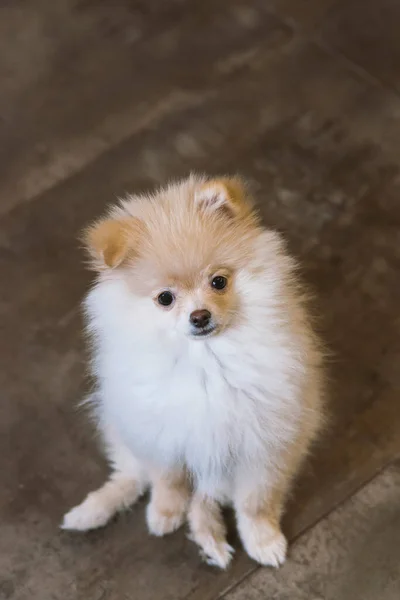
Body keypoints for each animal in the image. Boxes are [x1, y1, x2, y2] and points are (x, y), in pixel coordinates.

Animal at [62, 172, 324, 568]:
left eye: (218, 281)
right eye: (165, 298)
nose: (199, 316)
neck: (206, 361)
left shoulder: (265, 443)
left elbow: (255, 501)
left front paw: (263, 540)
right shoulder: (160, 433)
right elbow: (166, 479)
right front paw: (164, 513)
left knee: (203, 497)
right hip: (122, 425)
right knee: (132, 474)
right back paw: (93, 510)